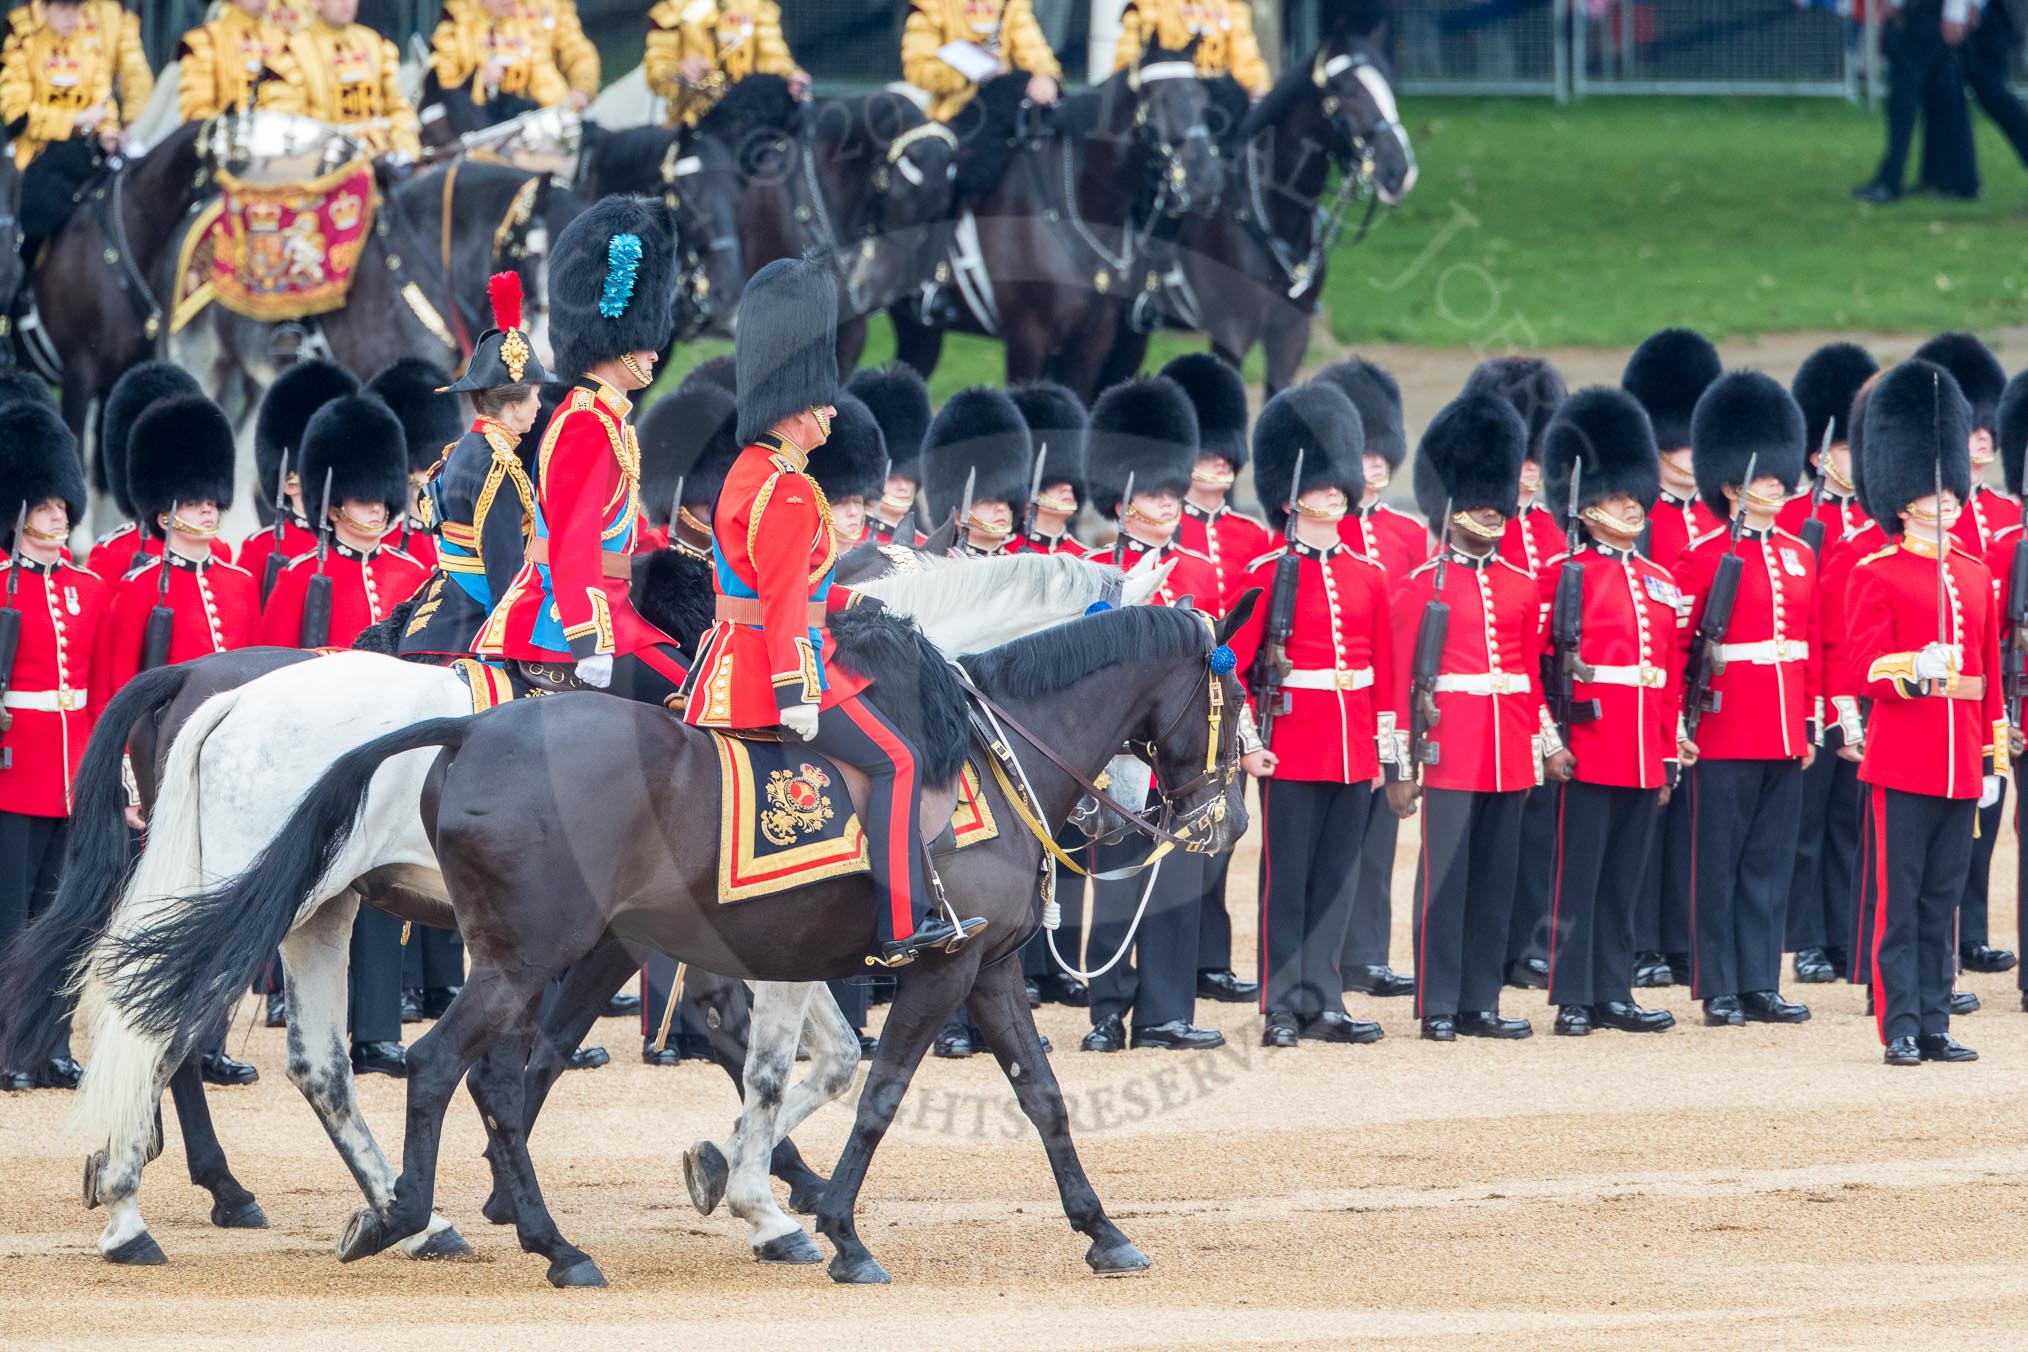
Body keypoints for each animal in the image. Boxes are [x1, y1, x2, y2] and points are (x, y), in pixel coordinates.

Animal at [9, 551, 1165, 1266]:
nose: (1126, 808)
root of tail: (216, 686)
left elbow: (770, 1056)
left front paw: (744, 1175)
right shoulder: (657, 934)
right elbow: (669, 1051)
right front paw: (756, 1191)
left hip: (304, 909)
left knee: (268, 1050)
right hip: (278, 898)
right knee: (176, 1029)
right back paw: (153, 1198)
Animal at [885, 42, 1225, 401]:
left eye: (1203, 97)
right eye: (1158, 98)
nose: (1206, 181)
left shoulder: (1091, 344)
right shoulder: (1028, 338)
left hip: (920, 331)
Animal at [1098, 35, 1418, 396]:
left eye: (1387, 86)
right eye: (1347, 91)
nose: (1400, 171)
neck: (1271, 213)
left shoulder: (1291, 333)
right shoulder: (1231, 335)